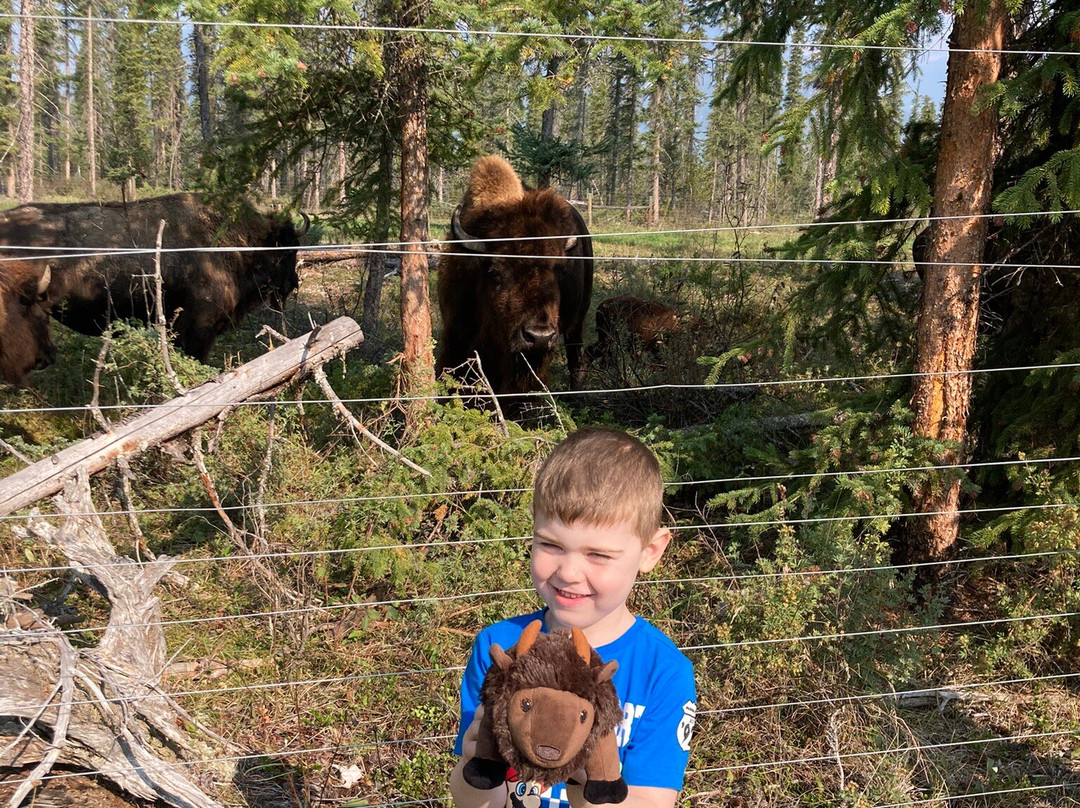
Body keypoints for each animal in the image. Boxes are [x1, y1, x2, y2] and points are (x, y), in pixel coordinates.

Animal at [436, 156, 593, 404]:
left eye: (558, 270)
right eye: (495, 272)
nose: (539, 337)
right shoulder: (455, 331)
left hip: (577, 319)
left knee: (574, 353)